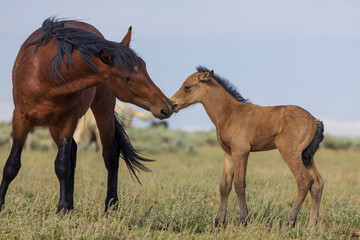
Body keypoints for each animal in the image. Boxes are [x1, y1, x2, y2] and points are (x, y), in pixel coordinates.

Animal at [0, 19, 173, 214]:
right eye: (127, 78)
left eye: (144, 67)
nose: (166, 106)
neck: (47, 74)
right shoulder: (20, 119)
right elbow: (11, 165)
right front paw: (1, 204)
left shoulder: (68, 120)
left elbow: (61, 164)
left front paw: (61, 209)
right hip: (53, 126)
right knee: (74, 152)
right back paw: (72, 204)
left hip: (102, 111)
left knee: (110, 155)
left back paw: (111, 205)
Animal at [170, 66, 324, 228]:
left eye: (187, 87)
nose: (172, 104)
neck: (229, 113)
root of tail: (315, 120)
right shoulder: (228, 153)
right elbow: (224, 186)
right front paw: (218, 222)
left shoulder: (241, 151)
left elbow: (239, 184)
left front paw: (244, 220)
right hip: (306, 157)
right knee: (318, 183)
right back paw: (311, 224)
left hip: (290, 153)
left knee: (304, 180)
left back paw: (289, 221)